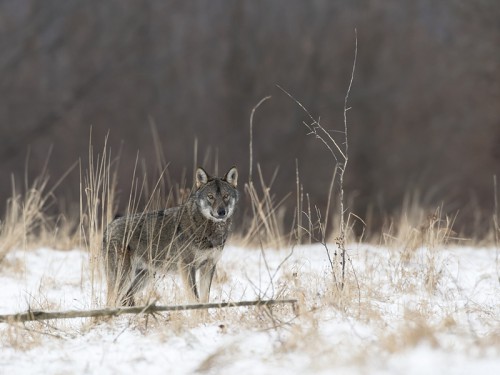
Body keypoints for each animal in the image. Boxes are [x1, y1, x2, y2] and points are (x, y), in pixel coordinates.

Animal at [101, 167, 238, 306]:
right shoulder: (186, 267)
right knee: (110, 302)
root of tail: (108, 228)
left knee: (126, 298)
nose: (221, 212)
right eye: (210, 196)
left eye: (226, 196)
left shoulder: (209, 267)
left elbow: (204, 301)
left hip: (144, 277)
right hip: (124, 279)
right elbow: (194, 299)